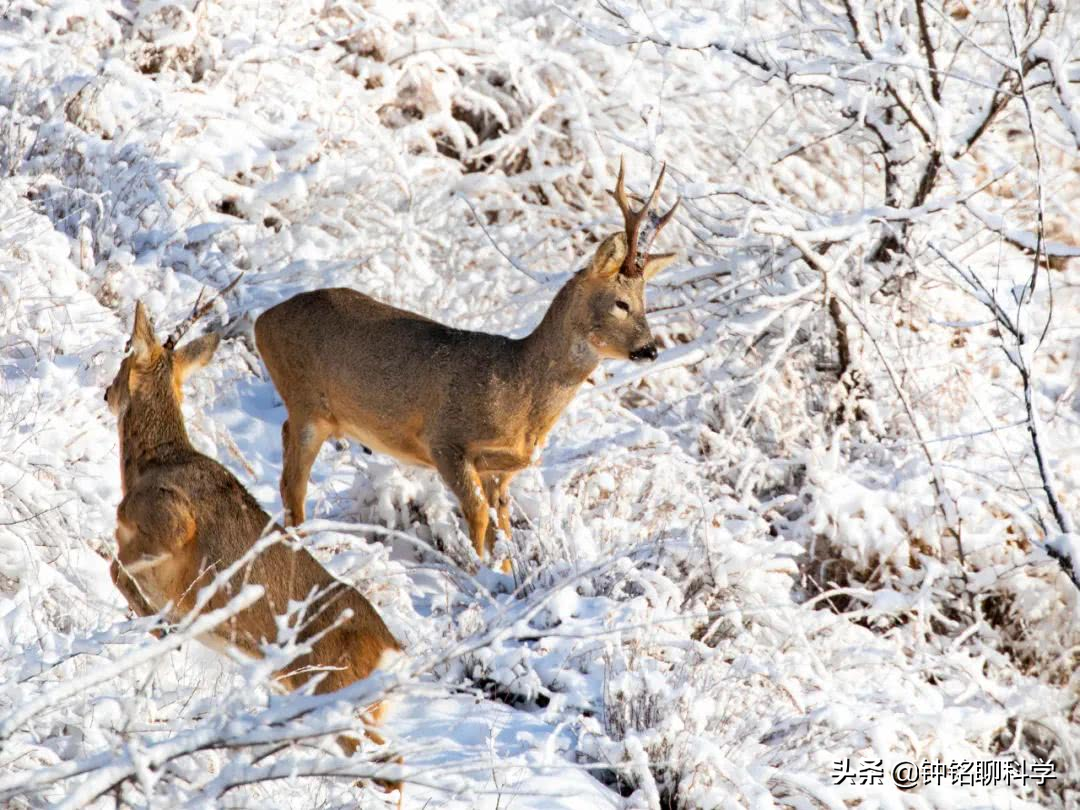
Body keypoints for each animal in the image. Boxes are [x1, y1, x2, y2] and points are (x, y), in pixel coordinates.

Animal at [105, 295, 403, 790]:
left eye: (126, 354)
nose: (106, 394)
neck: (151, 464)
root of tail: (393, 652)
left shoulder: (170, 523)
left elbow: (116, 564)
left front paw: (160, 625)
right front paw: (163, 628)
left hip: (335, 693)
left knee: (388, 765)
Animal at [253, 158, 678, 565]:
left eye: (645, 303)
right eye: (621, 303)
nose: (650, 349)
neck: (518, 390)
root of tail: (261, 320)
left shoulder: (500, 470)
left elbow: (503, 529)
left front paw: (504, 574)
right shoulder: (445, 439)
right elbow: (476, 517)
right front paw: (478, 576)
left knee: (286, 454)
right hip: (307, 402)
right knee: (292, 483)